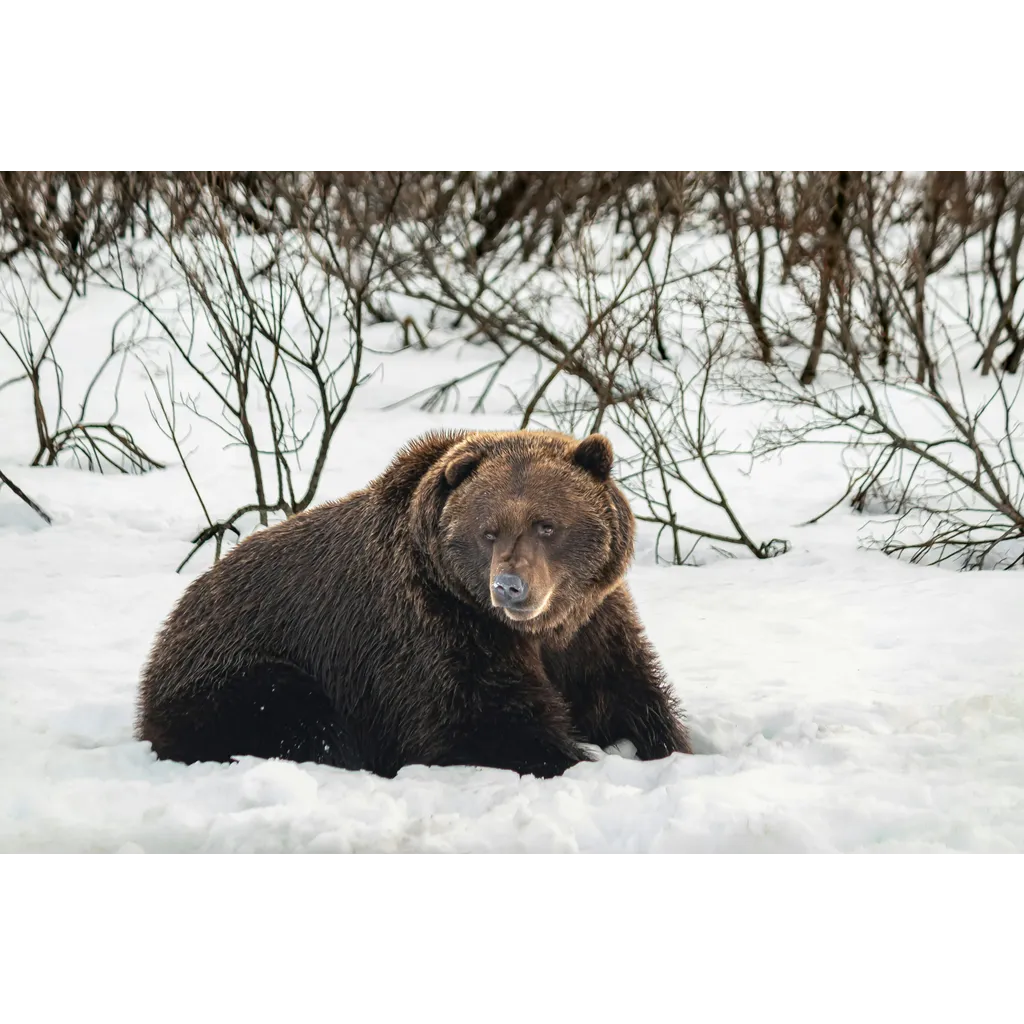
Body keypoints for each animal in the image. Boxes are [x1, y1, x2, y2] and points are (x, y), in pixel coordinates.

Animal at [136, 429, 692, 778]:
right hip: (241, 669)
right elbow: (480, 722)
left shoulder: (591, 625)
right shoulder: (437, 629)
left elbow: (629, 694)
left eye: (546, 525)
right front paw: (572, 757)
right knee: (297, 715)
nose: (510, 586)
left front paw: (667, 747)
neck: (535, 631)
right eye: (488, 531)